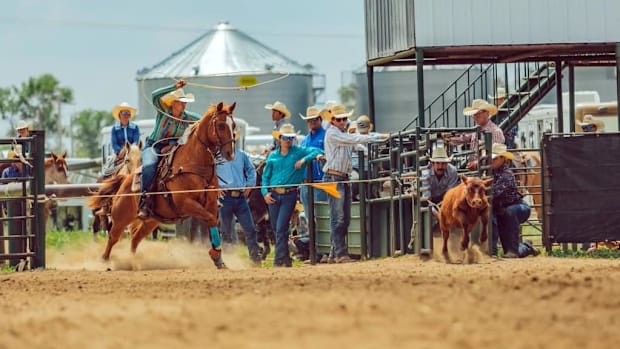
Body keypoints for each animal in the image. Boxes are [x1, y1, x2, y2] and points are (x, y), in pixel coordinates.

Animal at [89, 102, 237, 268]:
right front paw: (215, 255)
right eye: (221, 125)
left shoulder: (210, 203)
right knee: (113, 238)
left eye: (233, 125)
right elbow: (211, 219)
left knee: (134, 238)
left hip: (151, 221)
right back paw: (104, 261)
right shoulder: (186, 202)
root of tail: (125, 180)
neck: (193, 163)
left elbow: (213, 220)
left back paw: (133, 262)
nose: (230, 154)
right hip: (121, 218)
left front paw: (218, 258)